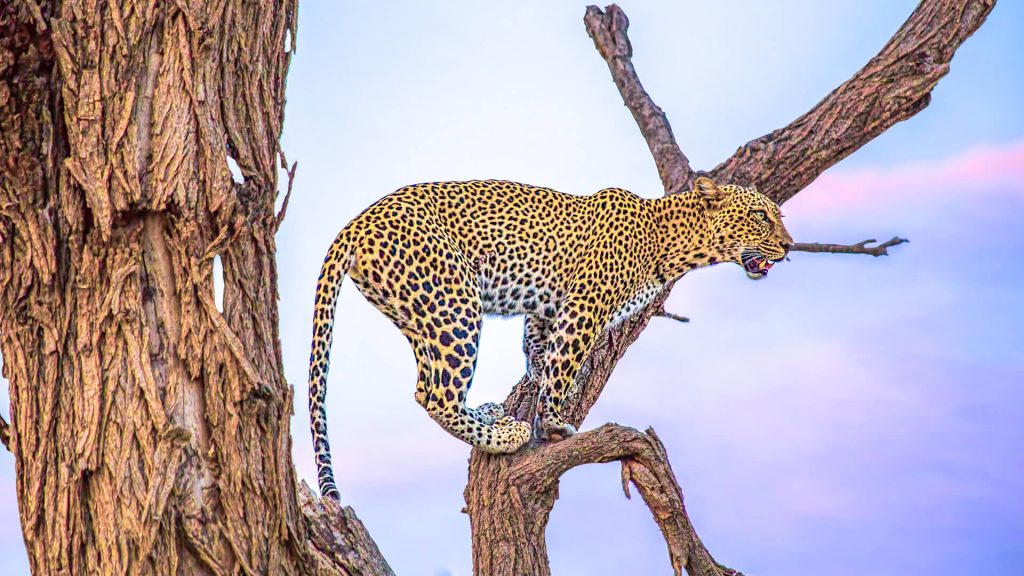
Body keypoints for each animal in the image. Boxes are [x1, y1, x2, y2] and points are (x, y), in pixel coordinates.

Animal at [307, 176, 793, 499]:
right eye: (759, 216)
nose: (789, 247)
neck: (670, 243)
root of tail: (356, 222)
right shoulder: (585, 305)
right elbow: (565, 357)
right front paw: (556, 422)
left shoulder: (547, 309)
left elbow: (542, 354)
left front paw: (548, 389)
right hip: (455, 303)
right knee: (434, 394)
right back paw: (504, 435)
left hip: (417, 313)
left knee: (430, 382)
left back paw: (490, 415)